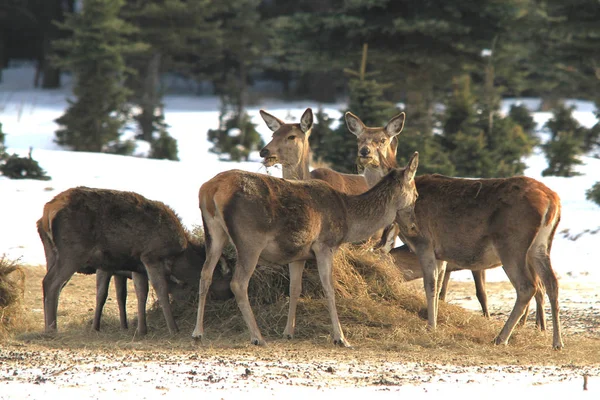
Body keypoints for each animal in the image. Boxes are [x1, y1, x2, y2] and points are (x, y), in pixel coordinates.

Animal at [37, 187, 229, 334]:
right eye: (221, 285)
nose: (226, 299)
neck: (178, 256)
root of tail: (47, 213)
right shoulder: (150, 256)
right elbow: (160, 290)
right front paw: (173, 328)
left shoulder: (137, 266)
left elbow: (141, 293)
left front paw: (141, 330)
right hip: (72, 252)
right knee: (52, 283)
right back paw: (52, 329)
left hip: (50, 251)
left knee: (49, 283)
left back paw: (48, 326)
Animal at [191, 152, 418, 346]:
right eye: (416, 195)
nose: (414, 227)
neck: (348, 219)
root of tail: (210, 189)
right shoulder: (325, 245)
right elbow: (329, 288)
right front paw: (341, 338)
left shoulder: (298, 254)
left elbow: (295, 289)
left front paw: (288, 332)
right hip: (250, 239)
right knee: (238, 283)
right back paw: (257, 337)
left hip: (214, 232)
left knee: (205, 274)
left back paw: (197, 333)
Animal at [344, 111, 564, 348]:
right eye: (359, 139)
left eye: (382, 140)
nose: (364, 152)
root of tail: (553, 199)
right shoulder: (441, 253)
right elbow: (440, 285)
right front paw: (435, 320)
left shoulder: (424, 241)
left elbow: (430, 285)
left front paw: (431, 327)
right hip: (541, 244)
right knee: (551, 283)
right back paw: (557, 342)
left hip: (512, 243)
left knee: (528, 286)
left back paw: (501, 337)